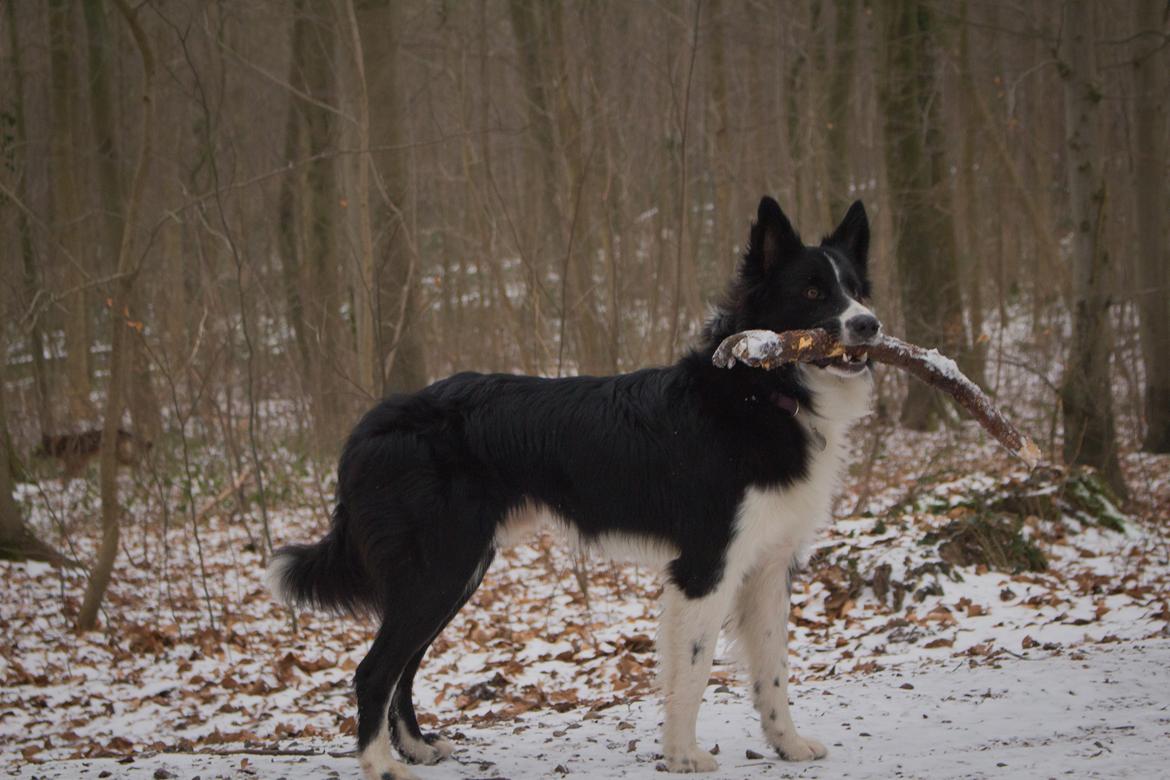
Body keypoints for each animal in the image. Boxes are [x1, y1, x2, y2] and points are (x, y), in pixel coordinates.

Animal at [271, 198, 879, 776]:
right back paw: (381, 766)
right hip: (439, 569)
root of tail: (369, 426)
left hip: (452, 574)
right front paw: (683, 757)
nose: (870, 325)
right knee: (375, 670)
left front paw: (788, 745)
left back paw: (416, 749)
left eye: (854, 289)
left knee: (403, 667)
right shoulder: (706, 566)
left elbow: (773, 668)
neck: (758, 390)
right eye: (811, 291)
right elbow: (693, 669)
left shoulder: (769, 567)